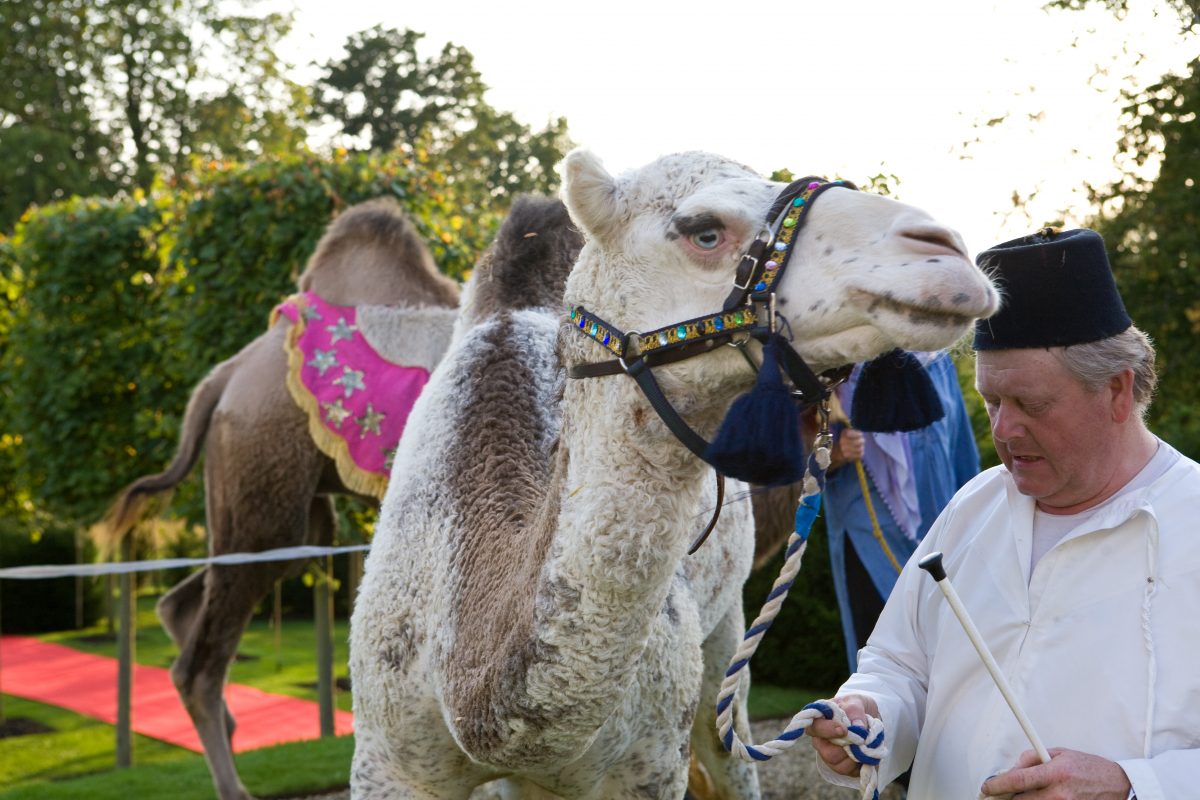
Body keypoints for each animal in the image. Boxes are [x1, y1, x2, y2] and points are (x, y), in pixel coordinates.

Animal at [98, 197, 462, 800]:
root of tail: (224, 378)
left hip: (273, 511)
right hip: (264, 486)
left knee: (184, 602)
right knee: (200, 659)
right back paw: (233, 782)